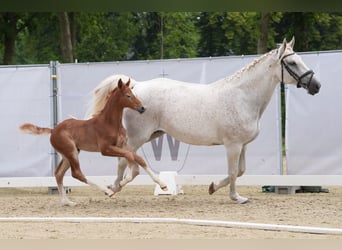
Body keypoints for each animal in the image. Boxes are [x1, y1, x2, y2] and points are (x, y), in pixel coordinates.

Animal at [20, 79, 167, 206]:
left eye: (134, 94)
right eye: (128, 95)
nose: (142, 108)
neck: (110, 123)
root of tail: (53, 130)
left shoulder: (123, 145)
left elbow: (139, 158)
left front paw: (162, 184)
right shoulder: (105, 149)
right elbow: (129, 156)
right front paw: (123, 181)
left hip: (69, 153)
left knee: (59, 173)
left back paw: (67, 202)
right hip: (71, 152)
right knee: (76, 173)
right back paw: (107, 192)